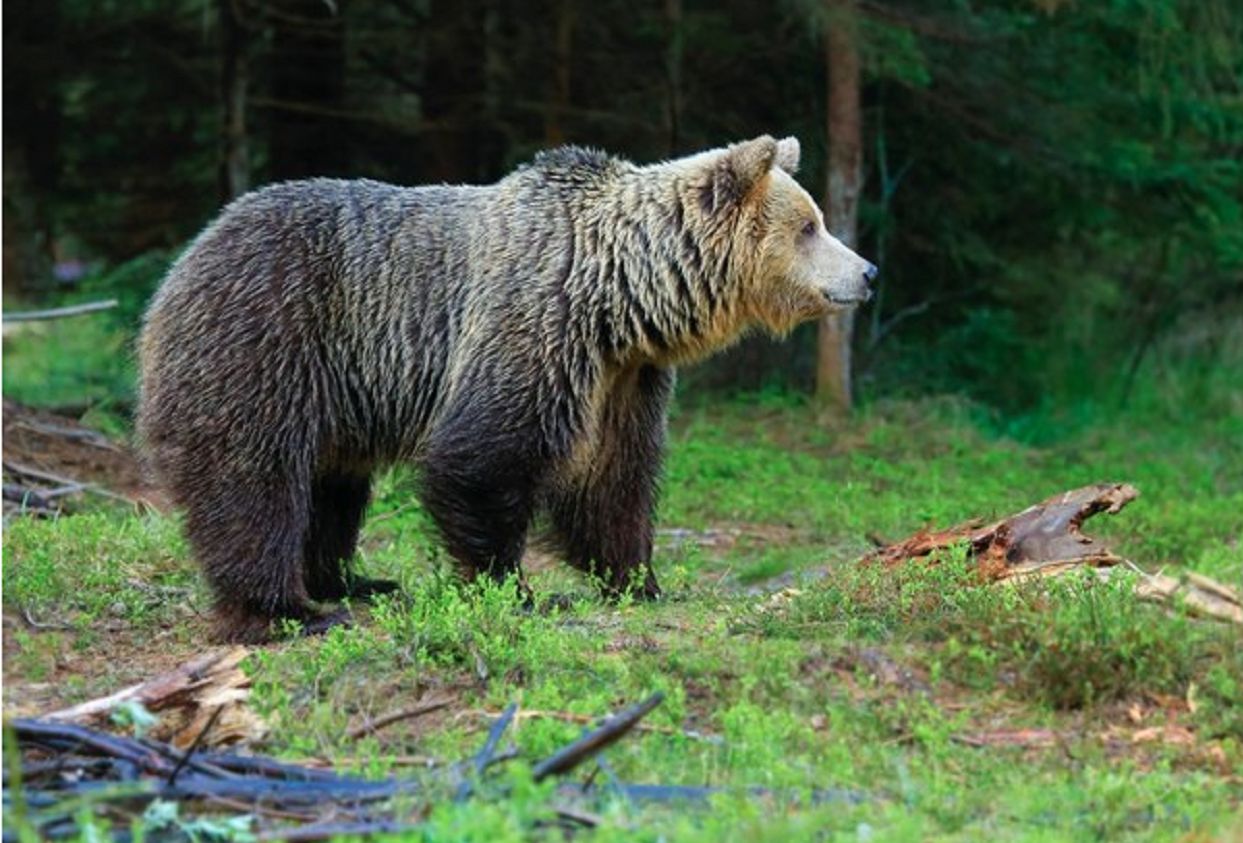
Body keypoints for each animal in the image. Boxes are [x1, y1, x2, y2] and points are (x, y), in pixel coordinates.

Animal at [136, 135, 875, 641]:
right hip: (267, 339)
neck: (619, 297)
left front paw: (641, 580)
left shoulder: (623, 380)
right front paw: (514, 589)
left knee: (334, 486)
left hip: (335, 392)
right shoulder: (534, 328)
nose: (868, 272)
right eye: (809, 226)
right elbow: (483, 458)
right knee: (253, 480)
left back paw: (355, 578)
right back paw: (287, 608)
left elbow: (614, 482)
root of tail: (185, 258)